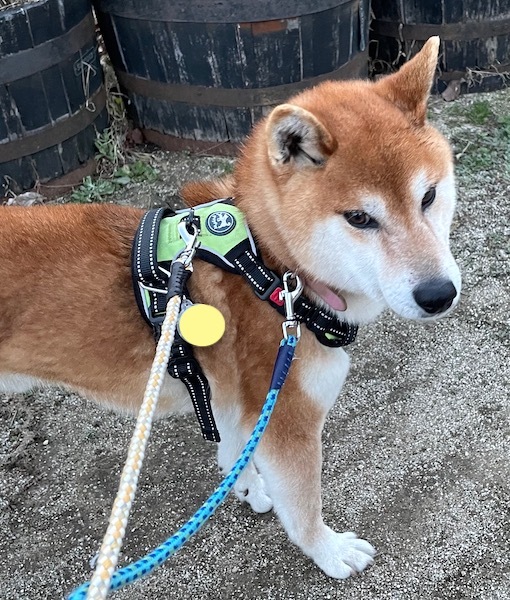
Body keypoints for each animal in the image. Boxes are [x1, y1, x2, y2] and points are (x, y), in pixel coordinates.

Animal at [0, 37, 460, 579]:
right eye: (359, 218)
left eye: (429, 196)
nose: (439, 293)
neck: (268, 266)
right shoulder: (286, 418)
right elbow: (303, 508)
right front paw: (329, 551)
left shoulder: (239, 405)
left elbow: (234, 450)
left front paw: (243, 485)